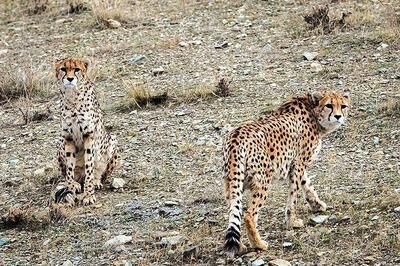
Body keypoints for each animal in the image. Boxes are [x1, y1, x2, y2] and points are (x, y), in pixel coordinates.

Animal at [53, 57, 119, 206]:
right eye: (63, 69)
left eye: (77, 69)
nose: (70, 79)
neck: (73, 98)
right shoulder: (68, 137)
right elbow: (70, 168)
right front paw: (70, 188)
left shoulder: (89, 135)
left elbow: (89, 165)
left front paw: (88, 194)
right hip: (60, 142)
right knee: (70, 174)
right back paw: (75, 183)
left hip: (112, 140)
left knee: (100, 174)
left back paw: (96, 181)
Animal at [223, 90, 348, 256]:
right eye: (329, 105)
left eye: (343, 106)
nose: (338, 116)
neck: (313, 111)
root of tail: (236, 137)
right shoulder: (299, 162)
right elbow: (294, 195)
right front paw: (292, 222)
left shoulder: (296, 164)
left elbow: (306, 184)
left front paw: (317, 204)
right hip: (263, 180)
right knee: (249, 214)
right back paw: (259, 244)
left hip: (232, 183)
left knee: (234, 211)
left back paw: (241, 246)